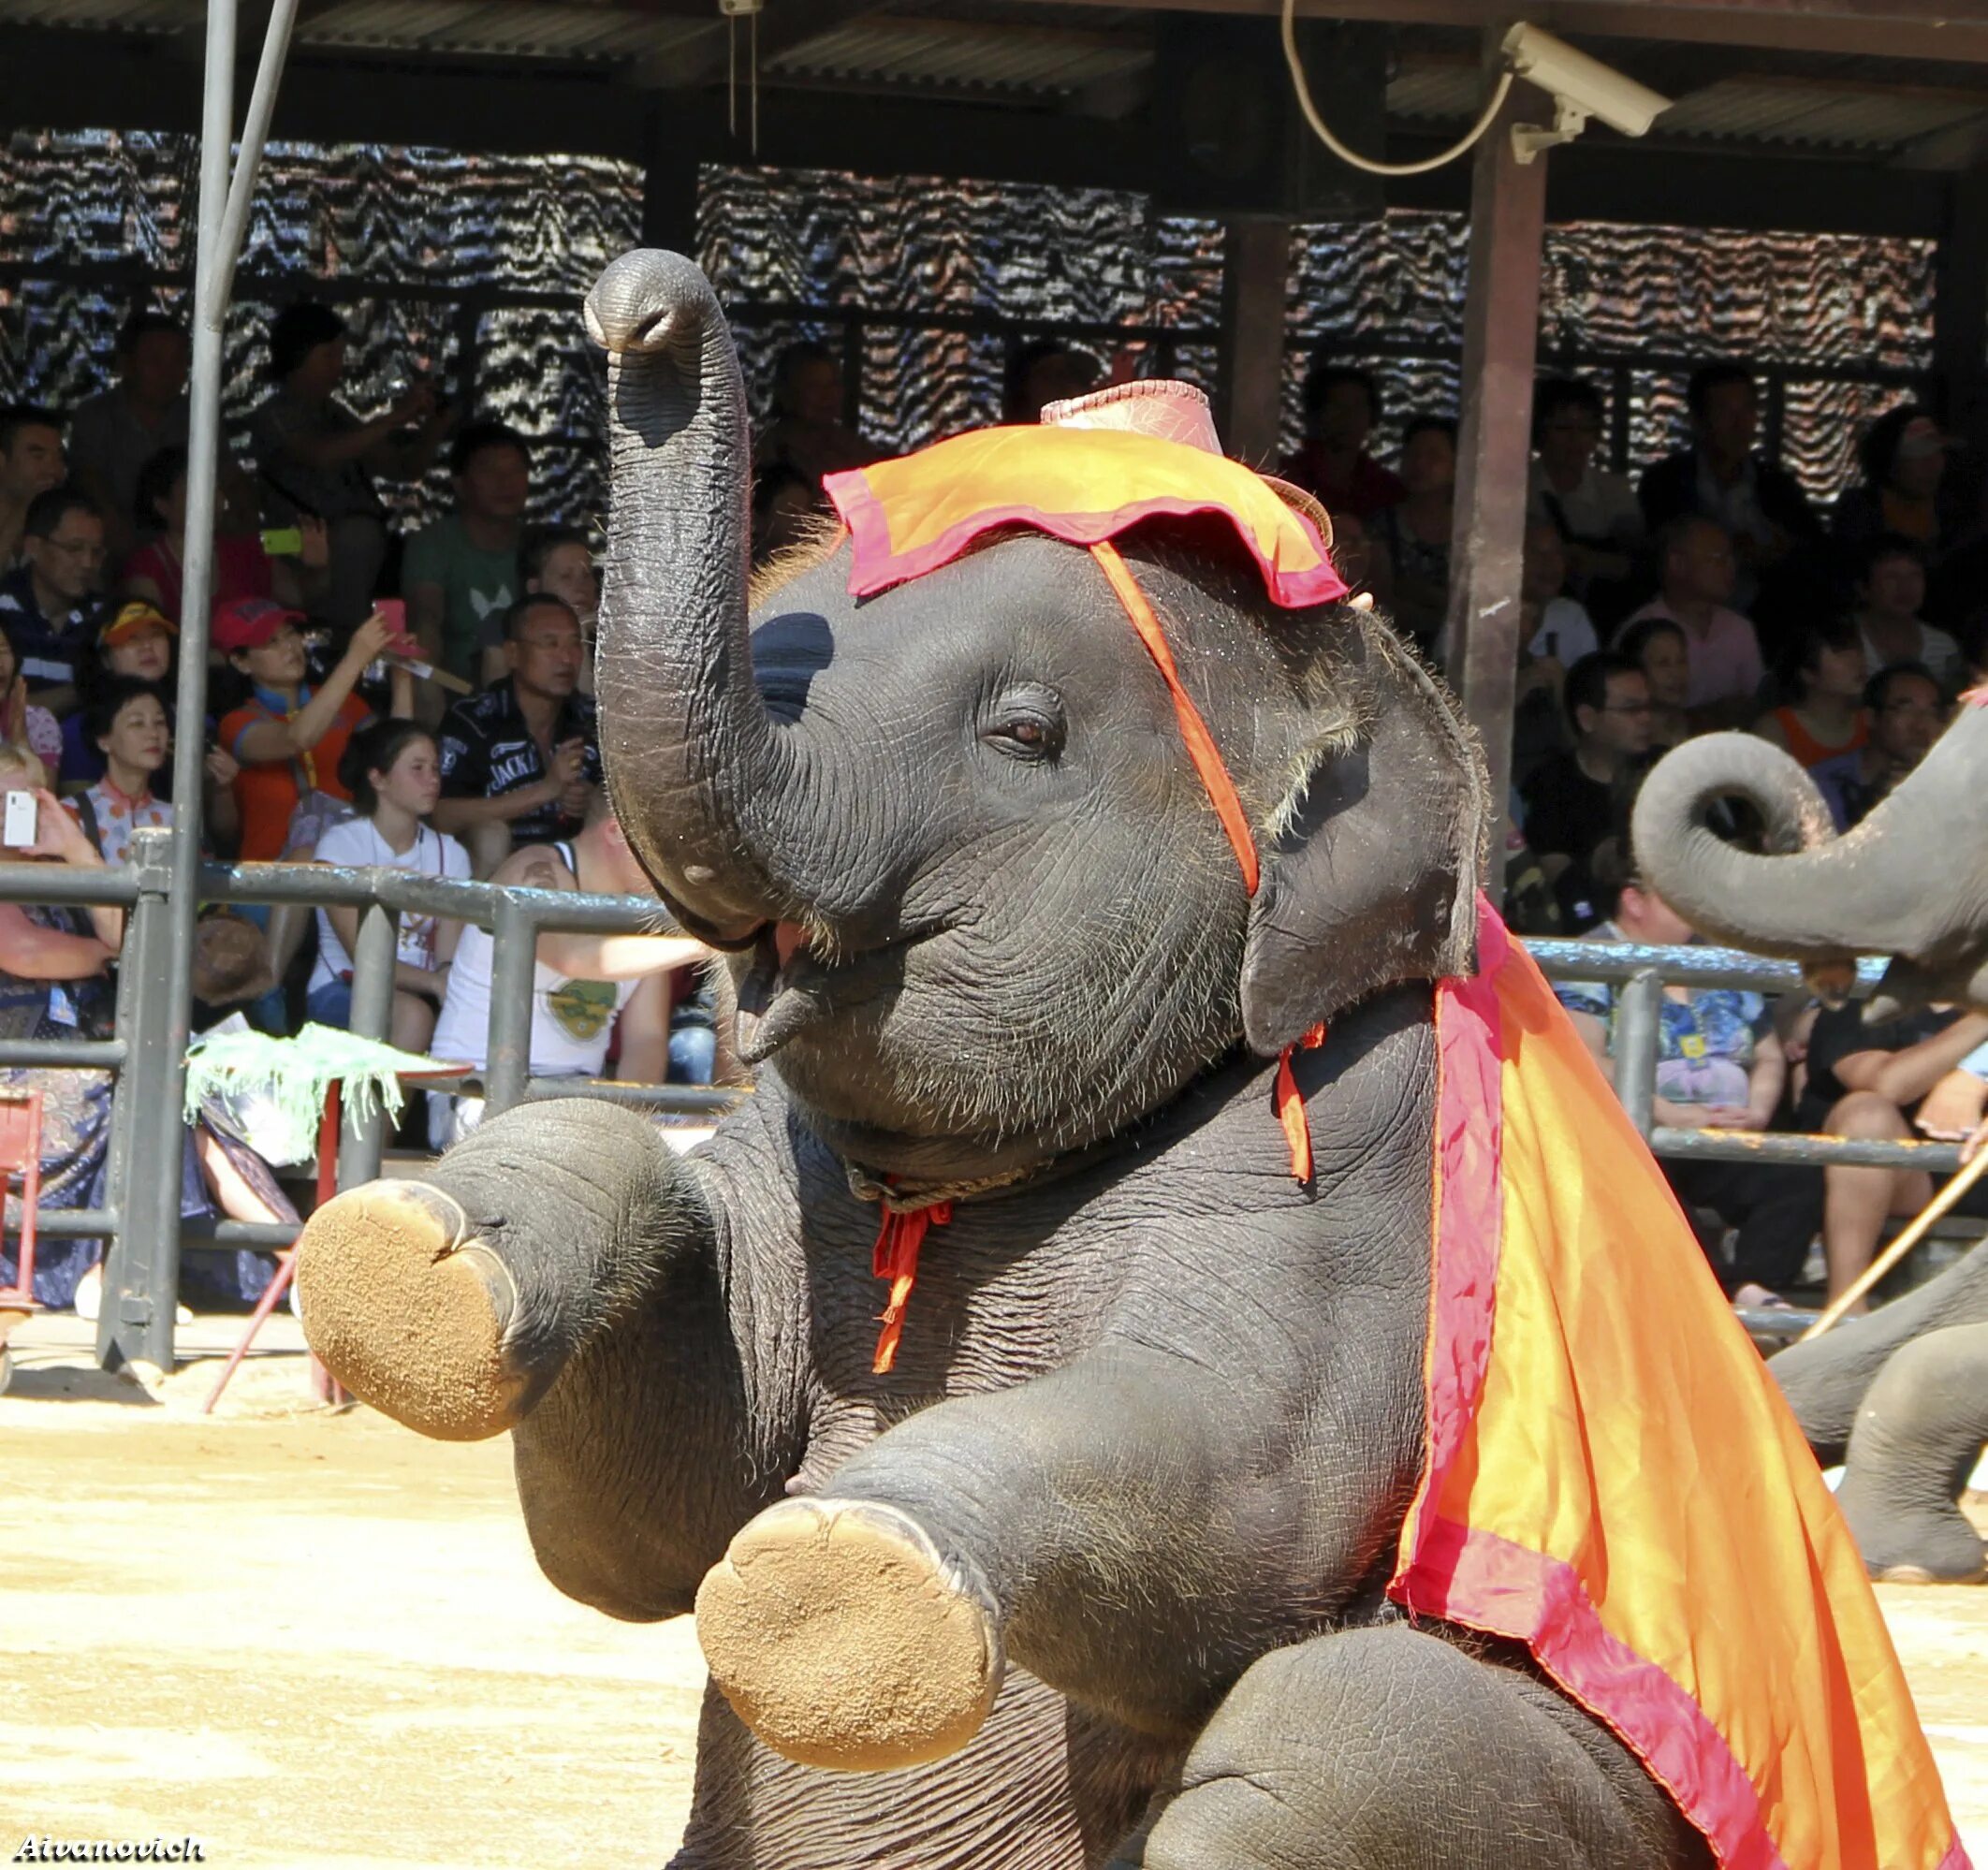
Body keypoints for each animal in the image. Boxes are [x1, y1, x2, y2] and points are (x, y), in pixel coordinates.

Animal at [294, 251, 1940, 1867]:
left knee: (1333, 1743)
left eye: (1024, 733)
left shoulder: (1366, 1143)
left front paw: (846, 1569)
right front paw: (403, 1259)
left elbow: (1244, 1480)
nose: (638, 302)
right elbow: (654, 1522)